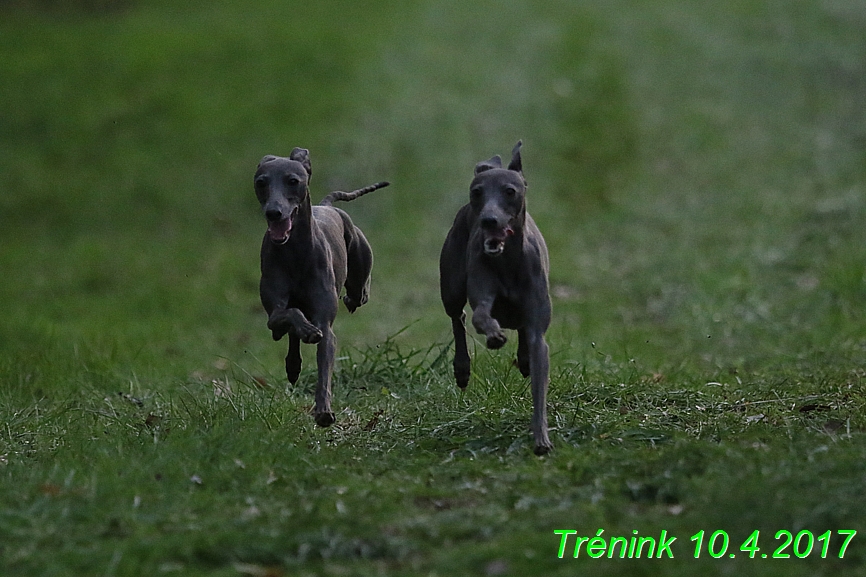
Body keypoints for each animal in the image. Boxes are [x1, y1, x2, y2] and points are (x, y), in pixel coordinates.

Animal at [253, 147, 388, 428]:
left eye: (293, 180)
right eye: (261, 182)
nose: (274, 212)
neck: (295, 252)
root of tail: (326, 206)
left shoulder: (326, 326)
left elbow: (324, 368)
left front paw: (324, 411)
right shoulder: (274, 311)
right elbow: (287, 315)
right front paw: (305, 331)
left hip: (358, 255)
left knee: (358, 293)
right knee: (290, 329)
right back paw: (294, 359)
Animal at [438, 141, 552, 454]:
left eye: (510, 191)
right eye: (477, 192)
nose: (488, 220)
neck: (508, 262)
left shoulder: (538, 330)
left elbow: (539, 380)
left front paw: (541, 437)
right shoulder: (482, 293)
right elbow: (479, 315)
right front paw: (494, 336)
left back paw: (523, 359)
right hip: (450, 286)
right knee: (458, 317)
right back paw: (462, 368)